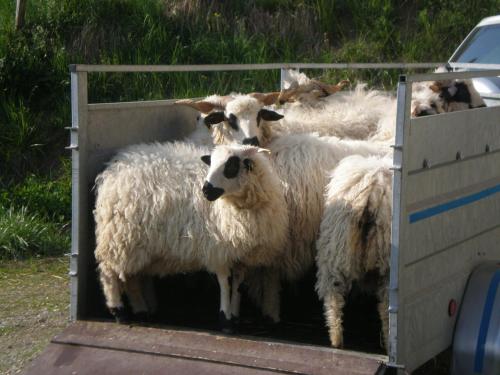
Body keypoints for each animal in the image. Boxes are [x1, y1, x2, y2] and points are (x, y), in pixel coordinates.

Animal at [94, 142, 290, 332]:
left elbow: (237, 285)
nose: (206, 190)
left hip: (136, 244)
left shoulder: (240, 254)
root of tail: (116, 166)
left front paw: (234, 317)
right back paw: (119, 311)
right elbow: (225, 283)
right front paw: (226, 321)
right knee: (109, 272)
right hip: (118, 238)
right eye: (211, 163)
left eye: (231, 165)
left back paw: (141, 311)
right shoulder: (219, 250)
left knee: (131, 277)